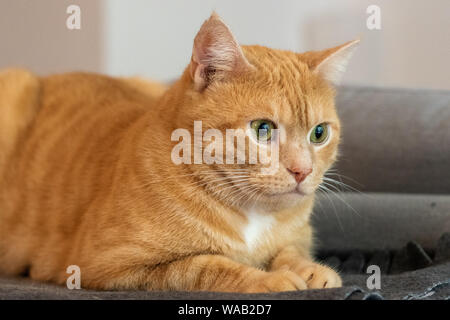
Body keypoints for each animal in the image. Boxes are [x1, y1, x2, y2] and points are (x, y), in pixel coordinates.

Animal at [0, 13, 358, 292]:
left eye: (319, 133)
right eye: (263, 129)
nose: (302, 171)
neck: (252, 212)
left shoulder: (298, 237)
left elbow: (291, 251)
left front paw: (309, 270)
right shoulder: (108, 263)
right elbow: (204, 266)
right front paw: (268, 279)